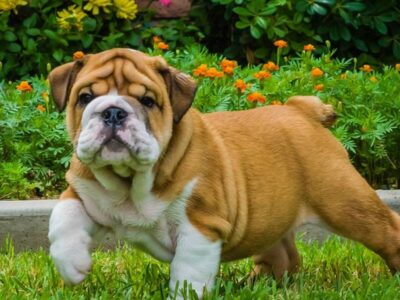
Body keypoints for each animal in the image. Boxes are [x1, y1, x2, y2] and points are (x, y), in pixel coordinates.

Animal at [47, 48, 400, 296]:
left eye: (147, 101)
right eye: (85, 97)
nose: (113, 112)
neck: (130, 180)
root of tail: (302, 110)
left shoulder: (200, 223)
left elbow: (188, 272)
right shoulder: (81, 189)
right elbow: (62, 221)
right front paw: (72, 265)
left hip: (344, 202)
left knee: (387, 230)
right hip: (272, 214)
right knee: (282, 254)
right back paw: (258, 284)